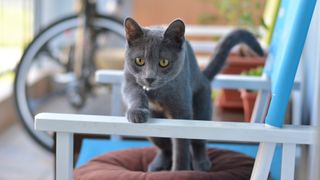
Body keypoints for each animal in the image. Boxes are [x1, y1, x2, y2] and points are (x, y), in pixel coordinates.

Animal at [121, 17, 264, 172]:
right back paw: (158, 164)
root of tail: (203, 77)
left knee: (198, 143)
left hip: (202, 110)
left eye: (164, 62)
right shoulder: (129, 81)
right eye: (139, 60)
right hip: (155, 127)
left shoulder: (182, 111)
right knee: (165, 146)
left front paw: (180, 170)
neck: (156, 92)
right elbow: (134, 93)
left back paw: (201, 164)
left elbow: (181, 147)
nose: (150, 78)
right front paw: (137, 112)